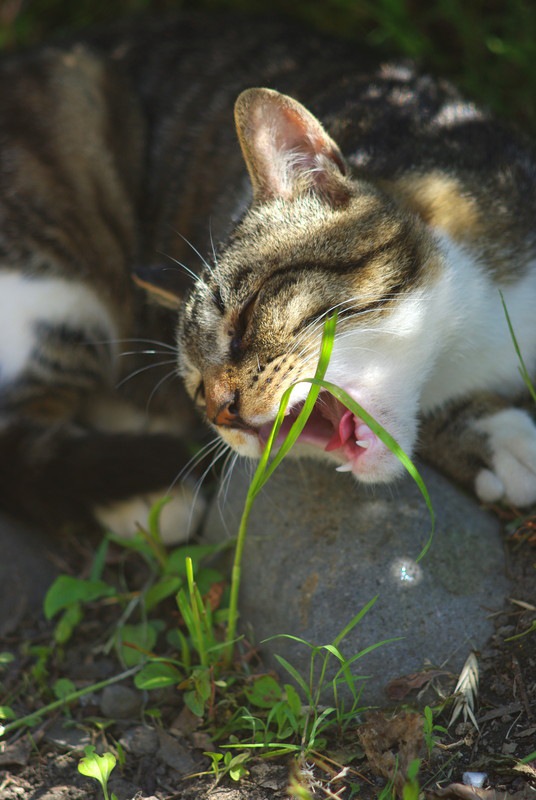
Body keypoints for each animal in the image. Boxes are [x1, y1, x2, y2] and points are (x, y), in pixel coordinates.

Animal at [1, 10, 536, 544]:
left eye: (243, 323)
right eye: (198, 388)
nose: (220, 413)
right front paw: (493, 435)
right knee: (23, 434)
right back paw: (147, 496)